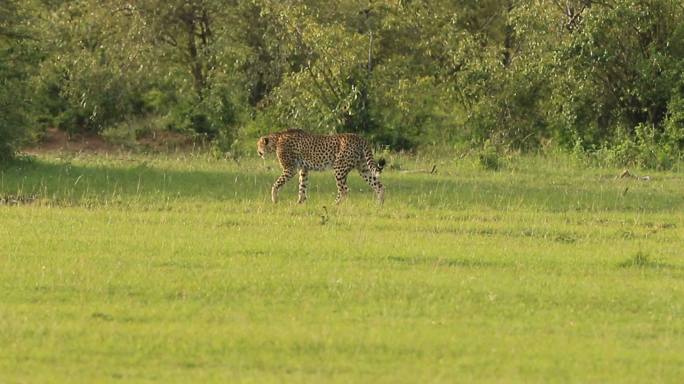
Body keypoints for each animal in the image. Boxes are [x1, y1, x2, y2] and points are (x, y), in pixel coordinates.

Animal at [256, 130, 384, 204]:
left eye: (259, 145)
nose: (258, 152)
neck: (277, 139)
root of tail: (360, 137)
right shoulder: (304, 169)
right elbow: (302, 186)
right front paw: (300, 203)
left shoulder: (290, 169)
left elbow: (276, 184)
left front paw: (274, 199)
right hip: (363, 168)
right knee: (379, 186)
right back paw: (379, 205)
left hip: (339, 168)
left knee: (344, 190)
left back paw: (335, 205)